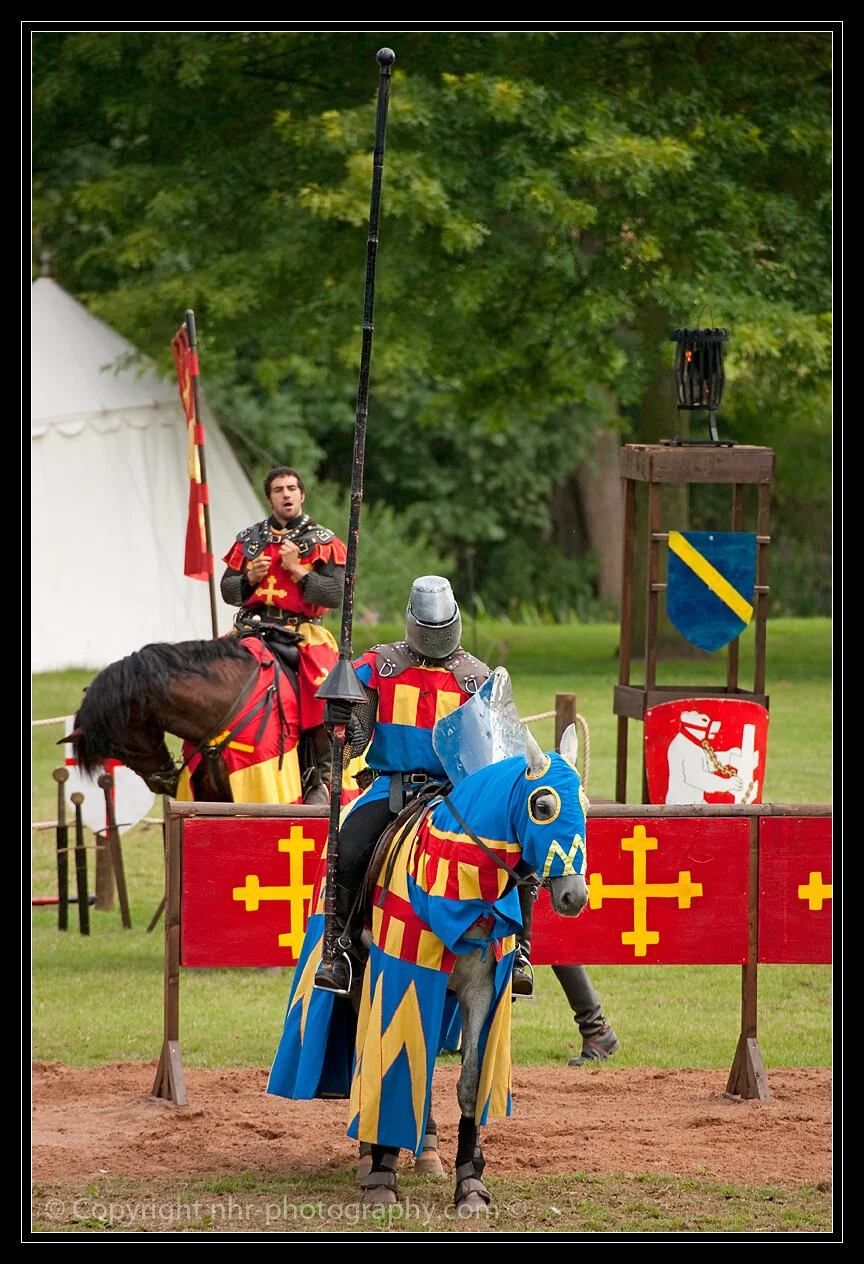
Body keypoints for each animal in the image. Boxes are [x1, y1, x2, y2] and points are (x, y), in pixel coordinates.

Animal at [267, 721, 590, 1213]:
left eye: (586, 806)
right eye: (543, 805)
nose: (574, 896)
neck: (456, 882)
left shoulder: (481, 992)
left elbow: (469, 1083)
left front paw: (469, 1181)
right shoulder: (402, 971)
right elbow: (387, 1063)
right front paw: (382, 1172)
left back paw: (430, 1149)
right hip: (361, 979)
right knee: (363, 1044)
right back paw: (370, 1155)